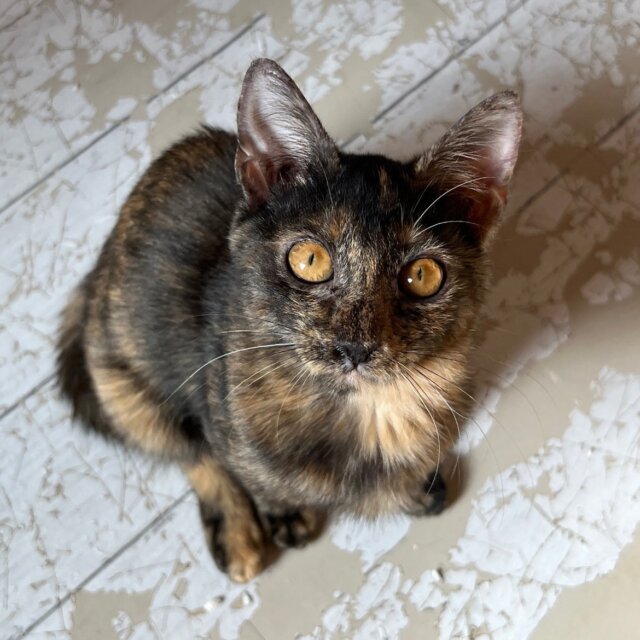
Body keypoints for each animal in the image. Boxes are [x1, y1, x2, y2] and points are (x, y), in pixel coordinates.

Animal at [57, 58, 522, 583]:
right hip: (123, 386)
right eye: (310, 260)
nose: (354, 348)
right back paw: (239, 536)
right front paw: (285, 511)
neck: (370, 414)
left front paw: (418, 486)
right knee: (189, 451)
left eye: (422, 275)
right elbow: (244, 470)